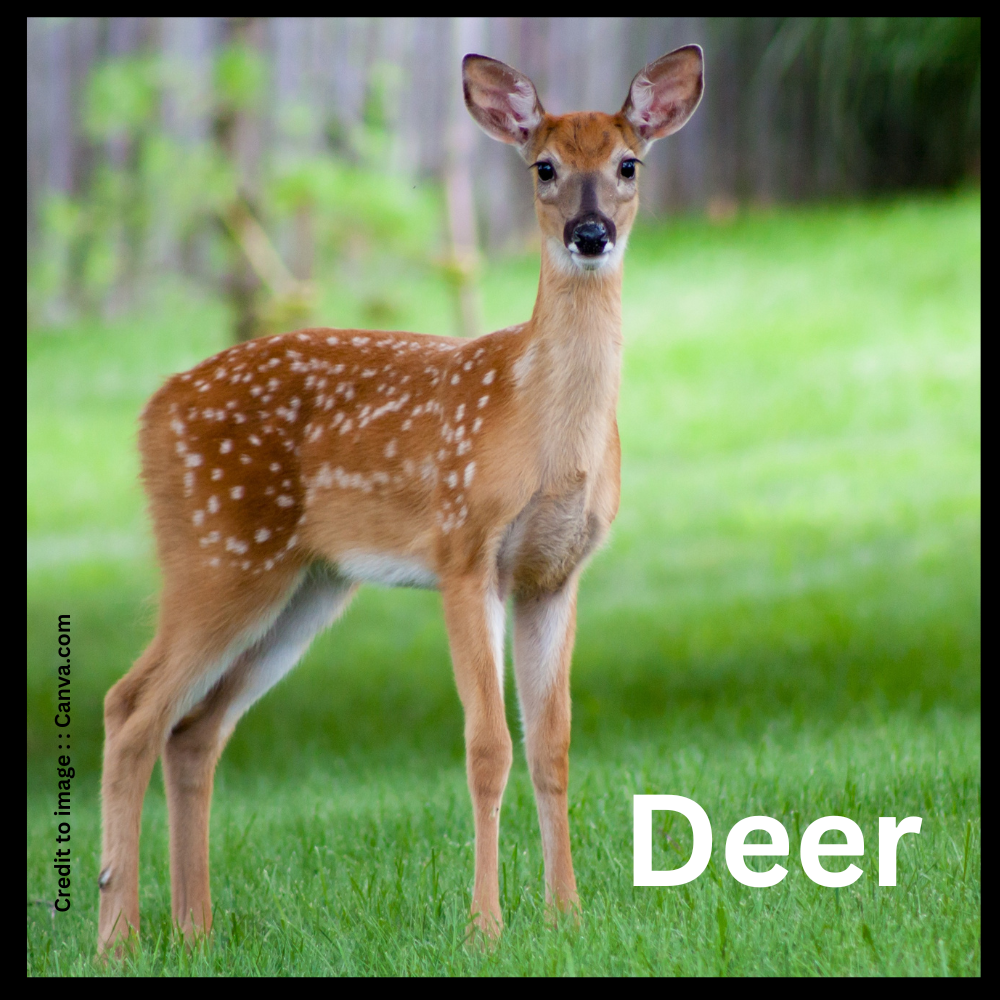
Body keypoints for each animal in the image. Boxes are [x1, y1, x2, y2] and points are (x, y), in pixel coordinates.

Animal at [97, 44, 704, 954]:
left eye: (628, 164)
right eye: (544, 167)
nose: (589, 234)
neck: (543, 428)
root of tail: (151, 411)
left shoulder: (555, 575)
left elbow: (552, 745)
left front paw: (566, 915)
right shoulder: (464, 553)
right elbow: (487, 746)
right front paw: (486, 925)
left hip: (305, 588)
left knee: (195, 729)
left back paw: (195, 930)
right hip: (216, 551)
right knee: (131, 706)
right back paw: (120, 936)